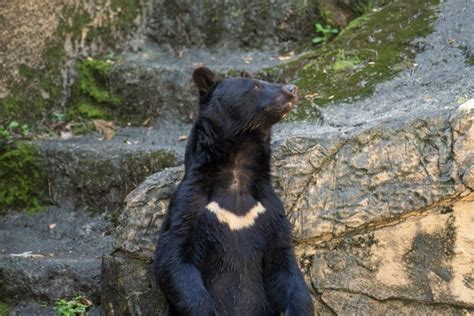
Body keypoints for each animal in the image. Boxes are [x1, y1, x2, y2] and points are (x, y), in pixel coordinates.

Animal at [154, 67, 312, 316]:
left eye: (262, 81)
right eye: (256, 86)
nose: (292, 88)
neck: (236, 170)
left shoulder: (268, 207)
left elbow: (283, 261)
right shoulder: (190, 203)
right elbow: (173, 257)